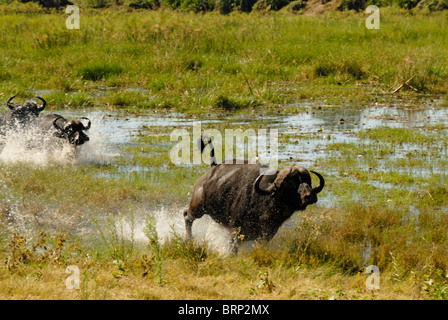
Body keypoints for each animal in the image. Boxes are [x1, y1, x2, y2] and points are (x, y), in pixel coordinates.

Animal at [183, 136, 326, 251]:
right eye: (292, 184)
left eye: (307, 182)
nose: (310, 196)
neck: (267, 201)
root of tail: (211, 171)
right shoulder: (235, 230)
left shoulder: (267, 234)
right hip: (198, 207)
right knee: (186, 216)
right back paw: (189, 239)